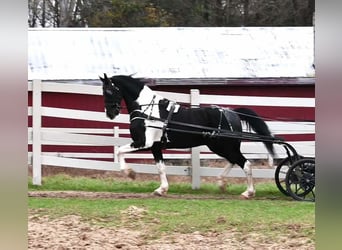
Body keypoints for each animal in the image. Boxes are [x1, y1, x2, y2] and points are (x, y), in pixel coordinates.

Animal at [99, 73, 276, 198]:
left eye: (108, 91)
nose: (110, 113)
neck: (148, 111)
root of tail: (231, 112)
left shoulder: (143, 142)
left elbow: (119, 151)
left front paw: (130, 173)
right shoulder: (156, 146)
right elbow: (160, 167)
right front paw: (161, 189)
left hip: (224, 146)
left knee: (245, 164)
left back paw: (248, 192)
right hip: (220, 146)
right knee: (234, 161)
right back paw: (221, 182)